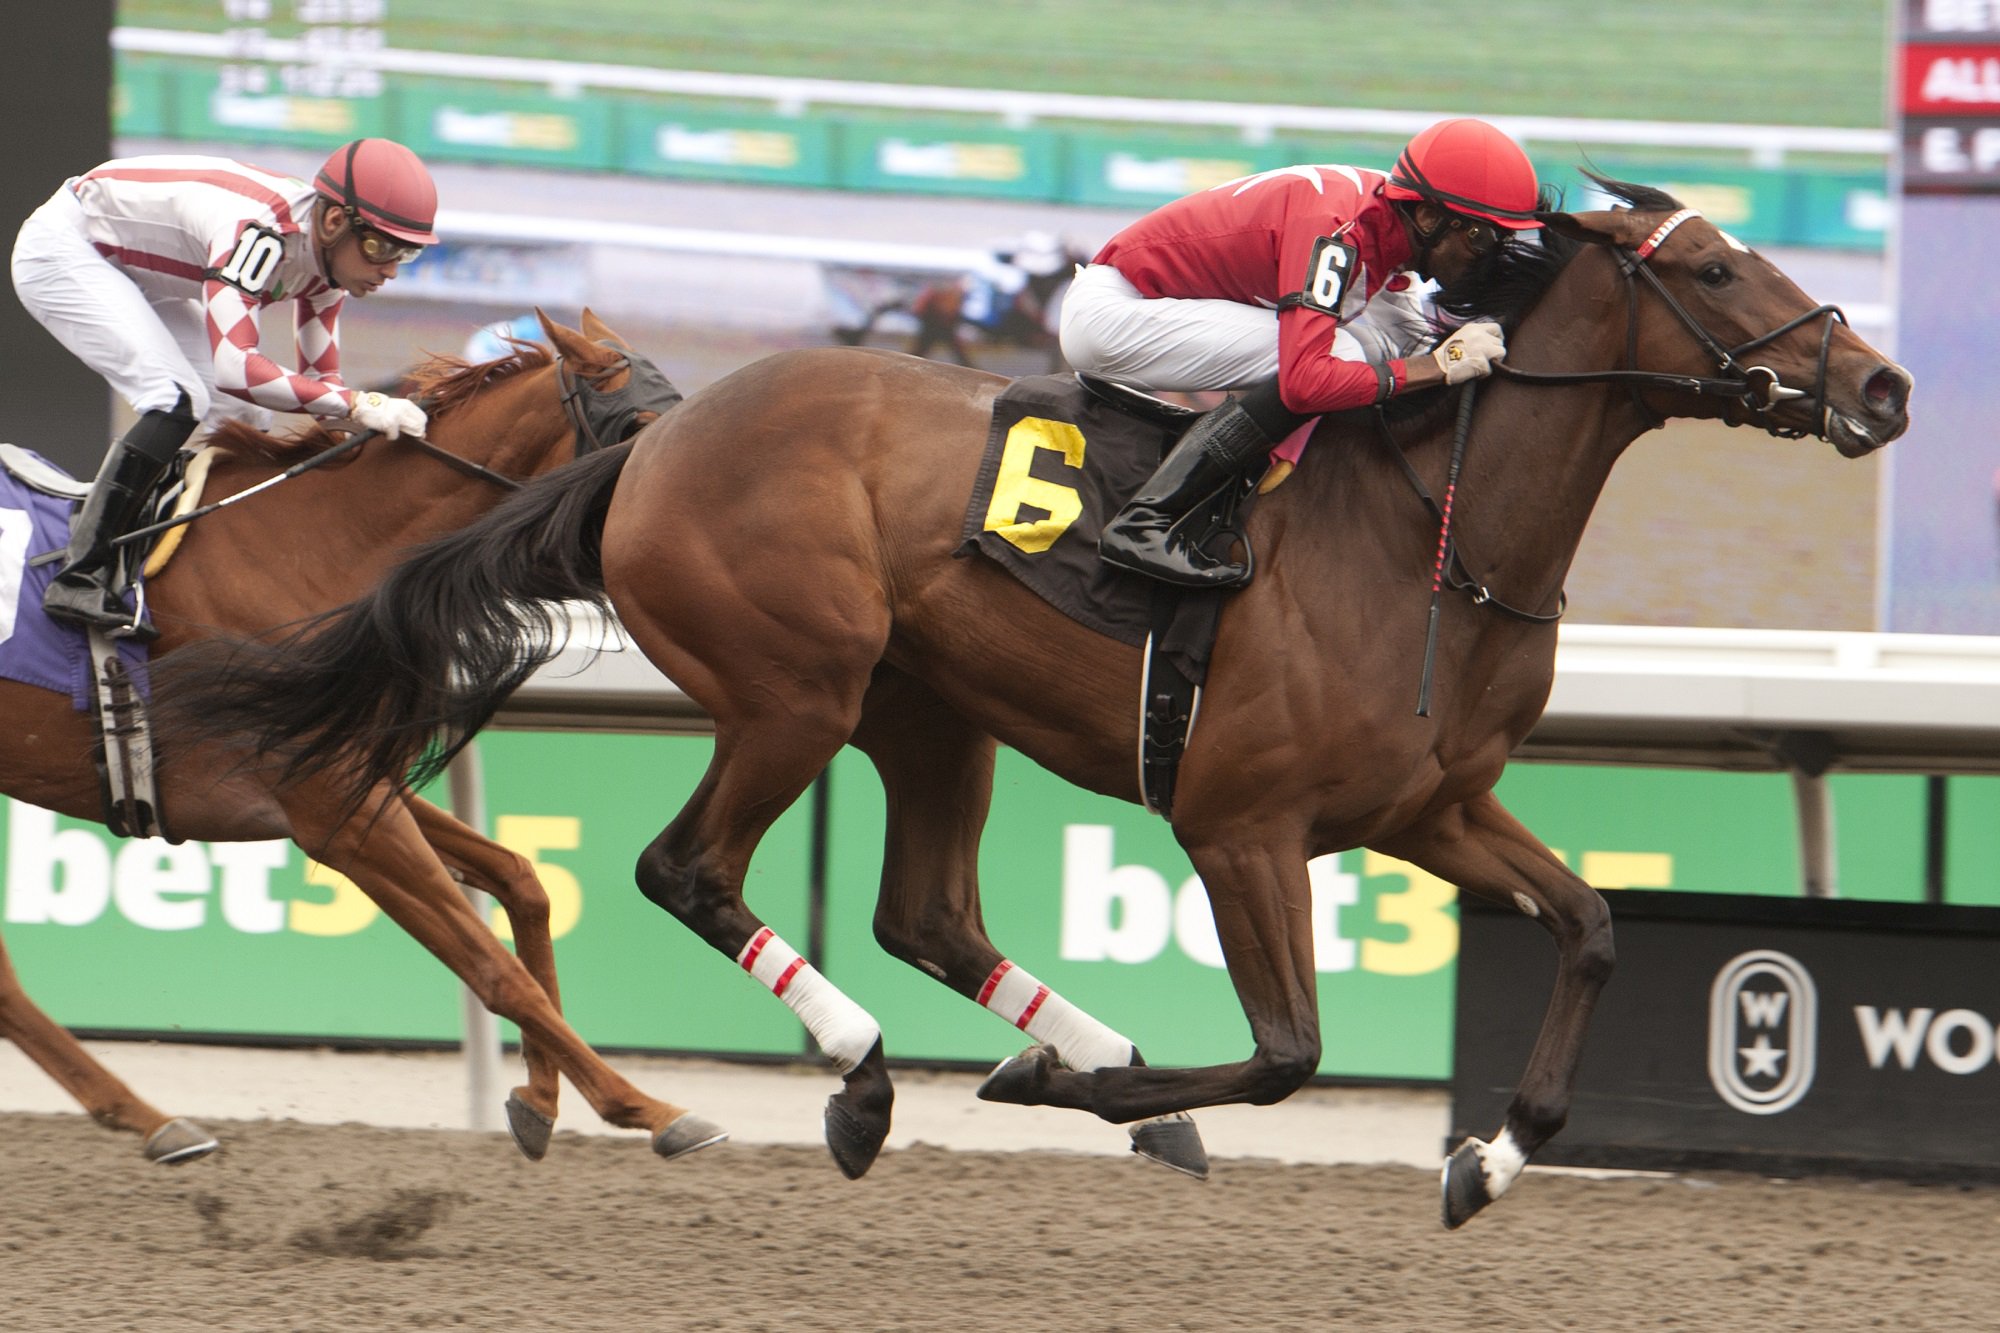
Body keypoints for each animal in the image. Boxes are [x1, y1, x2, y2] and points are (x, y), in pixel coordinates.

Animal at [0, 312, 732, 1160]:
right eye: (641, 425)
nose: (687, 545)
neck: (317, 549)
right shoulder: (332, 814)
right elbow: (492, 967)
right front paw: (651, 1107)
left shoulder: (353, 774)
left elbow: (521, 878)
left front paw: (540, 1097)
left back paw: (155, 1122)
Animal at [156, 182, 1904, 1216]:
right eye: (1716, 266)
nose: (1882, 385)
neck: (1431, 537)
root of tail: (651, 443)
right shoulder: (1240, 822)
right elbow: (1288, 1049)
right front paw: (1090, 1088)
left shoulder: (1430, 806)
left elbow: (1593, 926)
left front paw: (1492, 1150)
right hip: (795, 686)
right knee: (687, 870)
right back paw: (874, 1077)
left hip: (932, 711)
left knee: (927, 912)